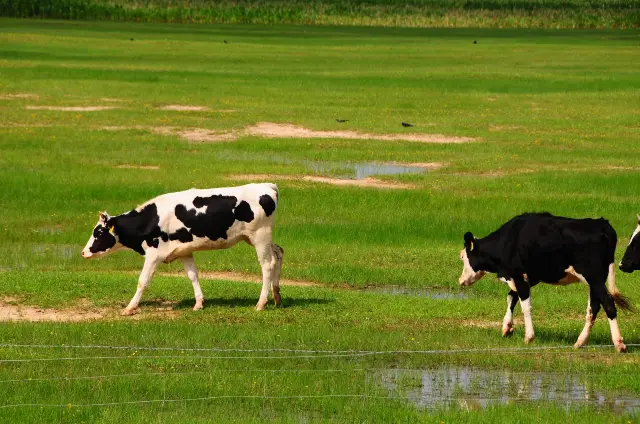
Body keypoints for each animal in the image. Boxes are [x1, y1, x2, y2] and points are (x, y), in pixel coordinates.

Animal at [81, 182, 284, 314]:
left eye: (98, 232)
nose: (83, 252)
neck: (150, 220)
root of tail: (267, 186)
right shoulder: (184, 252)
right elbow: (193, 275)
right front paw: (199, 303)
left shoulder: (153, 255)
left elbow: (142, 281)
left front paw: (129, 308)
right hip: (257, 239)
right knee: (279, 254)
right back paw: (276, 297)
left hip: (260, 236)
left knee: (267, 265)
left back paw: (261, 303)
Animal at [458, 212, 632, 354]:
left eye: (462, 256)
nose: (460, 281)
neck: (508, 240)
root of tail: (602, 224)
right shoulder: (528, 278)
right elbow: (511, 298)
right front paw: (507, 327)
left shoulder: (518, 276)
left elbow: (525, 306)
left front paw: (528, 337)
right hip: (596, 279)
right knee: (593, 307)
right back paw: (580, 342)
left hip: (593, 277)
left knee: (608, 302)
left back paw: (619, 344)